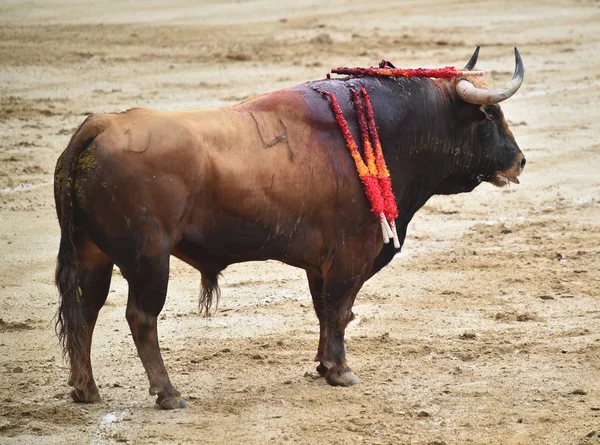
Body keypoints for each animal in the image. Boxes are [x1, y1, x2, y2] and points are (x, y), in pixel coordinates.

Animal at [55, 46, 524, 408]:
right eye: (490, 113)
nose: (520, 161)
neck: (390, 128)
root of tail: (101, 125)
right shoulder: (351, 254)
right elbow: (339, 308)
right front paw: (340, 370)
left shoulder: (322, 264)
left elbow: (326, 310)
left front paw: (323, 365)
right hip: (149, 258)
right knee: (141, 316)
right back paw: (168, 393)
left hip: (92, 253)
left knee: (85, 307)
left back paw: (86, 390)